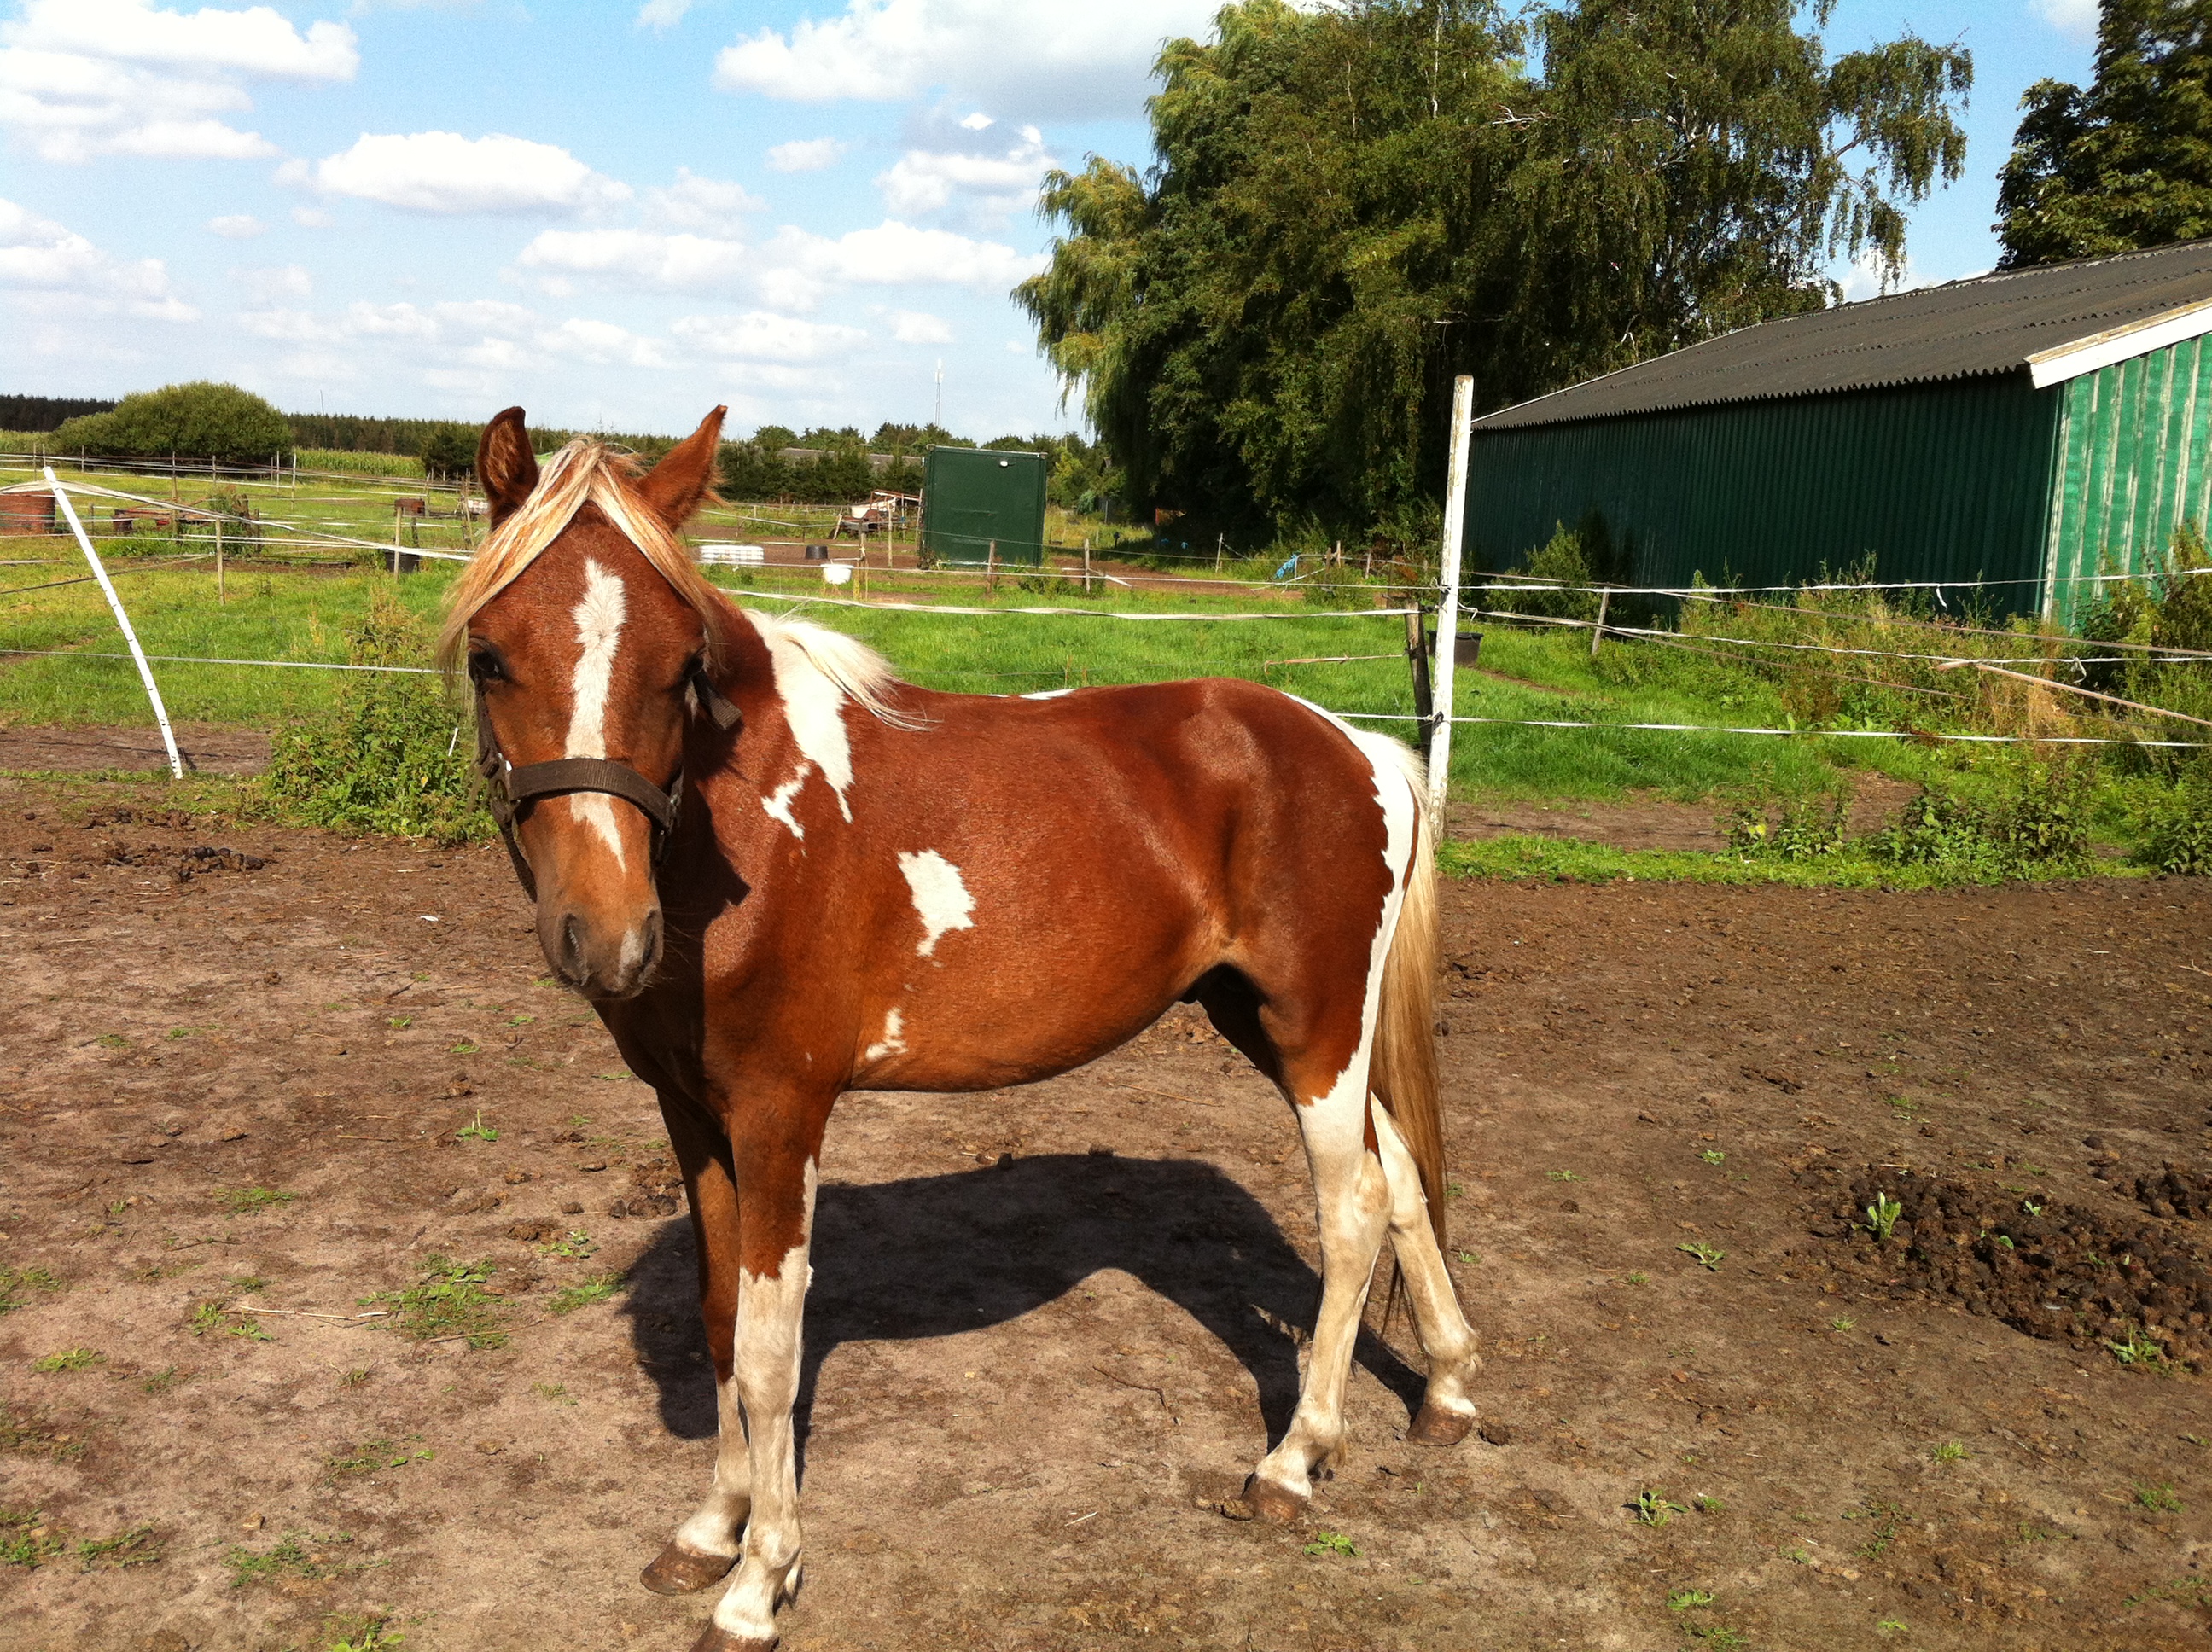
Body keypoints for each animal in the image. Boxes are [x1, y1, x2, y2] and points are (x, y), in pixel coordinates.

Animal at [449, 406, 1486, 1645]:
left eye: (684, 665)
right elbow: (717, 1319)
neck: (744, 829)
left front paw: (760, 1578)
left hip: (1315, 1033)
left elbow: (769, 1351)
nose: (606, 934)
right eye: (489, 656)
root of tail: (1360, 750)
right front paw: (709, 1531)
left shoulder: (780, 1114)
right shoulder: (691, 1114)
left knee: (1356, 1209)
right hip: (1275, 1025)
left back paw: (1293, 1460)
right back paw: (1449, 1389)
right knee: (1406, 1181)